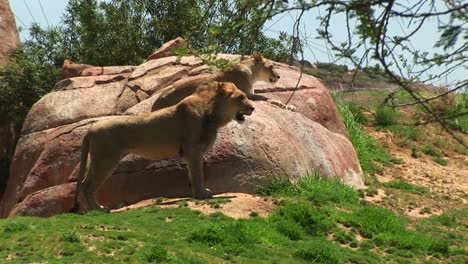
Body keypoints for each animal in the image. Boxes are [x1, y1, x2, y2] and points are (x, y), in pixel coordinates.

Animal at [73, 81, 254, 211]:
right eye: (241, 97)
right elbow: (198, 174)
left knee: (84, 183)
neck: (213, 113)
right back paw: (98, 209)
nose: (253, 108)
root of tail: (91, 129)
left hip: (100, 160)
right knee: (87, 186)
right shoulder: (193, 149)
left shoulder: (190, 152)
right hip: (106, 160)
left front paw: (197, 193)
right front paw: (202, 194)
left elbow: (192, 174)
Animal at [152, 52, 294, 111]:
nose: (279, 76)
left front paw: (289, 106)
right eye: (272, 66)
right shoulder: (246, 93)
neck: (253, 74)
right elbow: (264, 97)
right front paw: (283, 105)